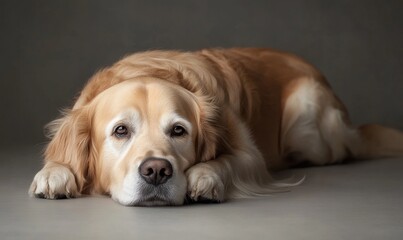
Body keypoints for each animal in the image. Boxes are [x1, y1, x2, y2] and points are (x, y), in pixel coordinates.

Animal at [28, 48, 403, 206]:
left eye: (179, 131)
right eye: (121, 131)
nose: (156, 171)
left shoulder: (251, 156)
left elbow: (226, 162)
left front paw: (204, 178)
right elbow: (58, 162)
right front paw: (54, 174)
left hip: (307, 111)